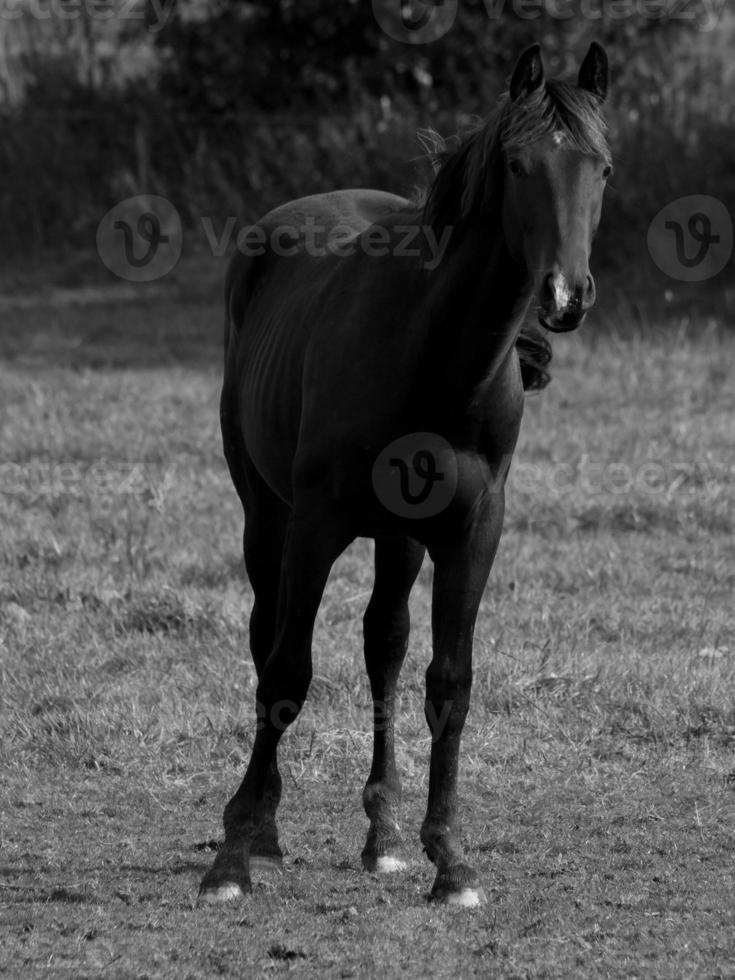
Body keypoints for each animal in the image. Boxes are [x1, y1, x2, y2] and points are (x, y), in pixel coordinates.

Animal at [201, 44, 616, 904]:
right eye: (519, 165)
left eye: (602, 168)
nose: (565, 295)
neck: (430, 349)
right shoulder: (314, 522)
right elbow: (286, 670)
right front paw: (231, 859)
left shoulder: (473, 528)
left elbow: (447, 681)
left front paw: (448, 860)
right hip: (266, 515)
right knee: (266, 637)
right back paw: (263, 829)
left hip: (399, 536)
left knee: (382, 646)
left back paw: (381, 832)